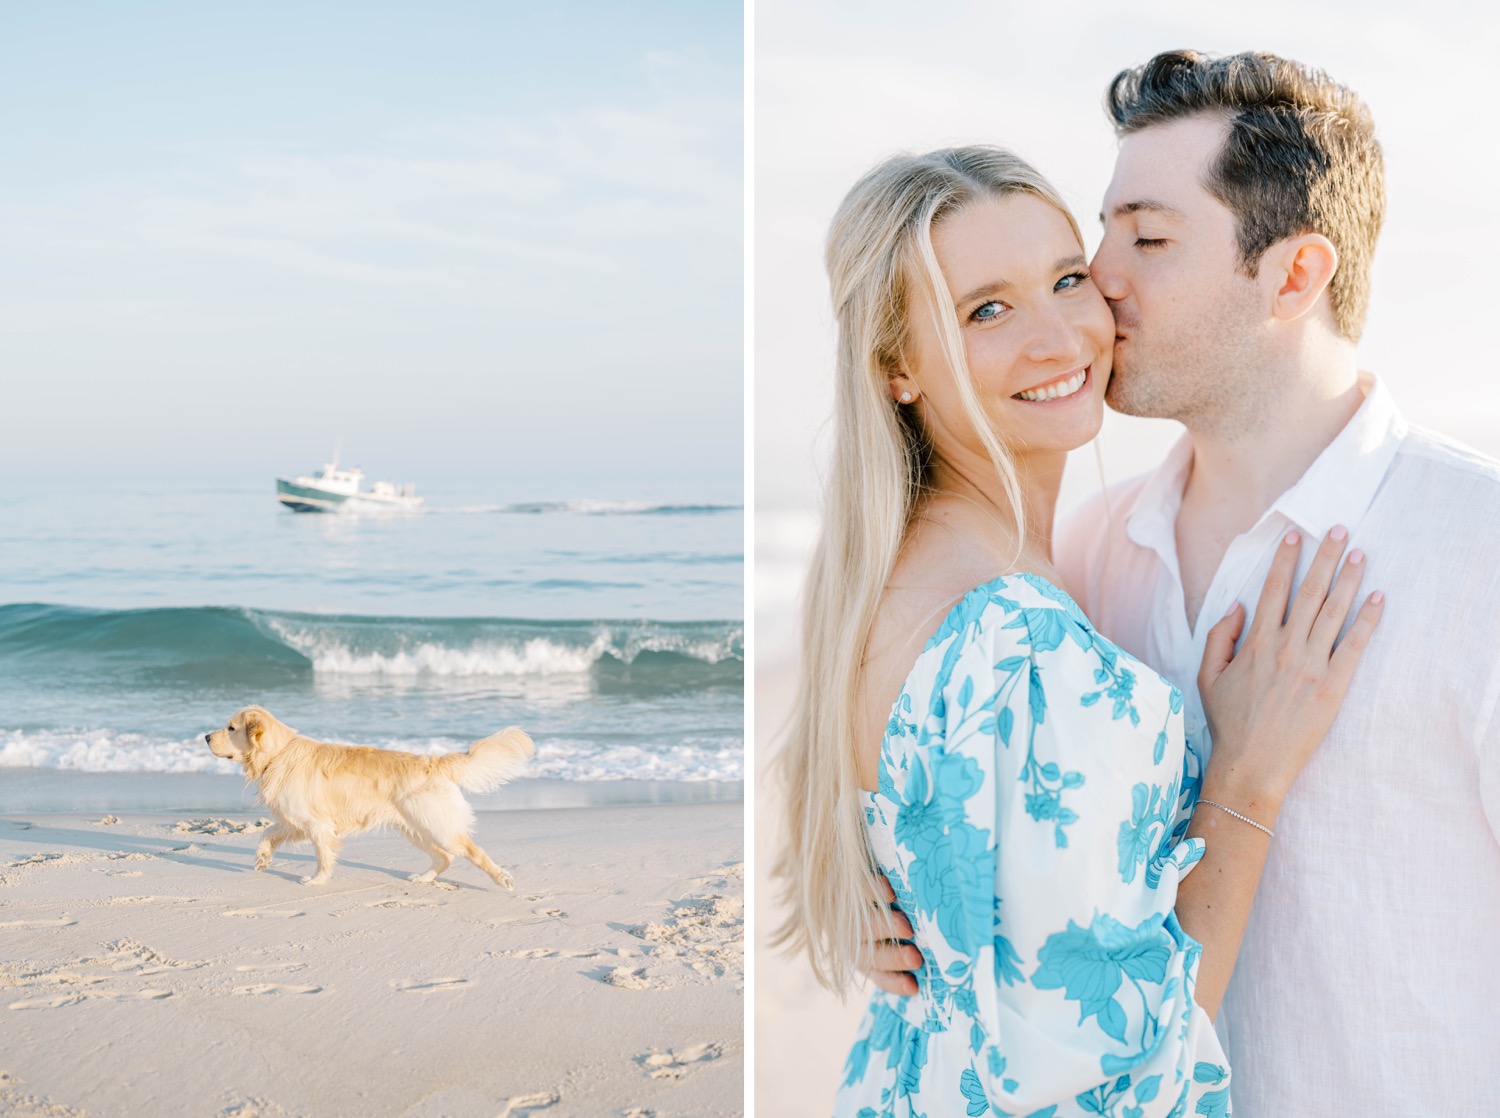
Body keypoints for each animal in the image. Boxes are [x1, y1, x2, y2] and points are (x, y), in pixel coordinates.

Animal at [205, 705, 534, 888]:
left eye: (230, 728)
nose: (206, 736)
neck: (278, 754)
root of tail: (435, 762)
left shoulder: (317, 824)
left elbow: (322, 856)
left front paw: (317, 880)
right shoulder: (295, 819)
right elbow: (268, 833)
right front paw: (262, 859)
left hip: (438, 825)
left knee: (470, 851)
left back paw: (503, 879)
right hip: (414, 827)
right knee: (444, 858)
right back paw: (423, 878)